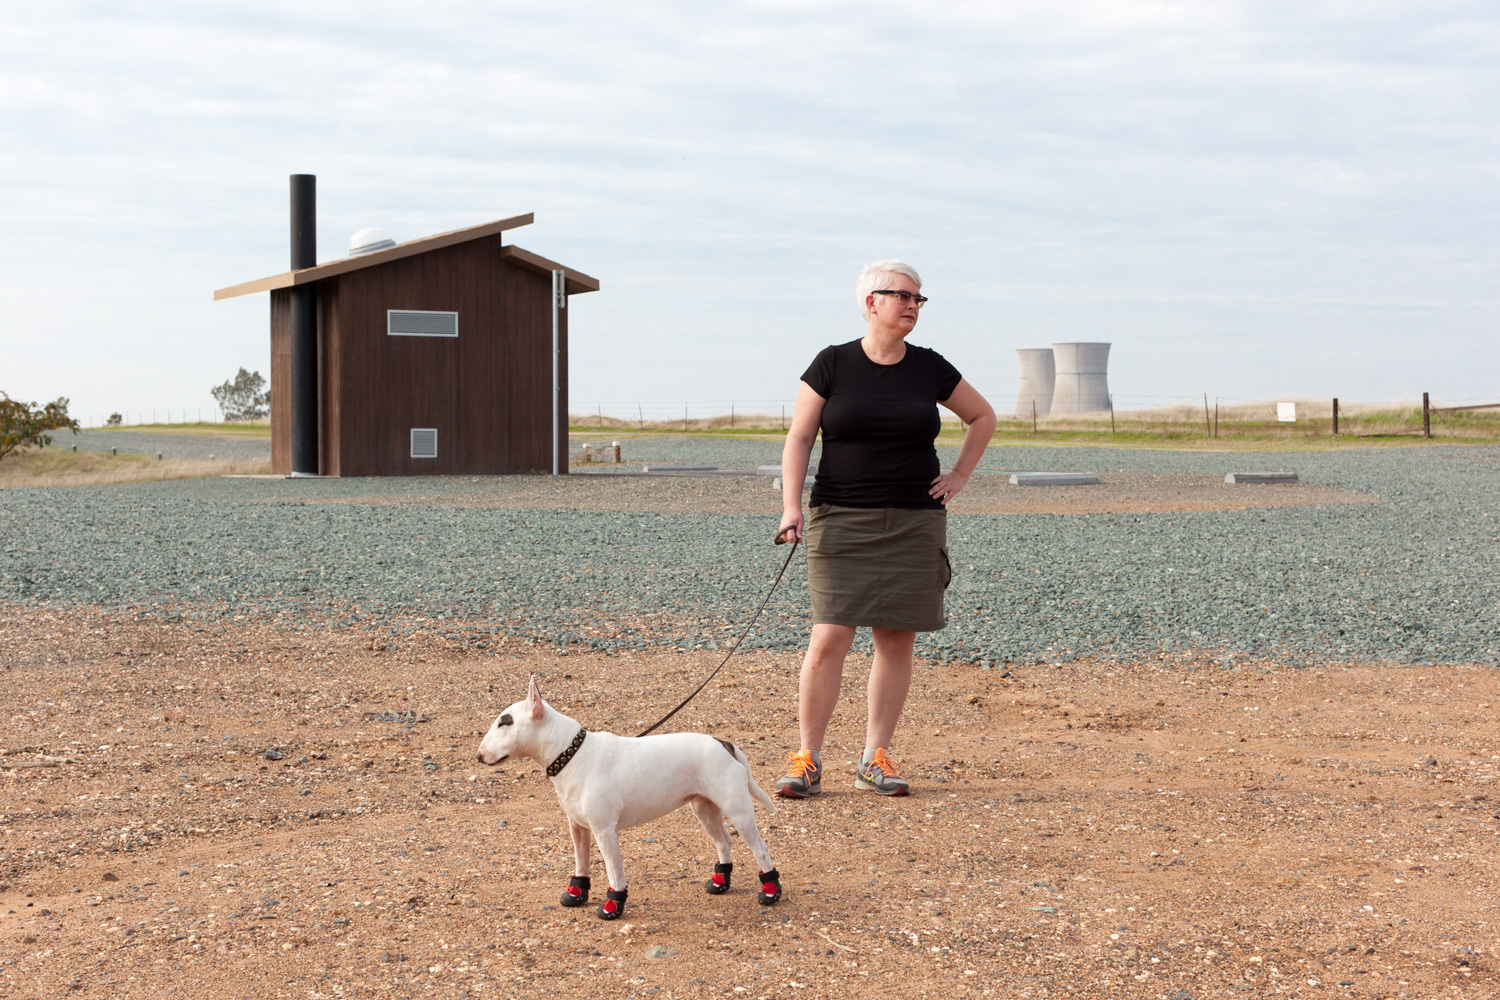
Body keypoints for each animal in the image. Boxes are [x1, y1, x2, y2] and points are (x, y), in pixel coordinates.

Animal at [477, 677, 786, 917]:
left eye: (505, 723)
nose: (479, 756)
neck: (571, 754)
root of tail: (725, 743)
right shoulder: (578, 827)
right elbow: (581, 862)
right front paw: (576, 893)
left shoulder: (605, 831)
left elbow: (614, 872)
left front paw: (612, 906)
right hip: (704, 808)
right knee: (724, 842)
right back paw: (720, 882)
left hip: (738, 810)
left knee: (760, 848)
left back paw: (770, 892)